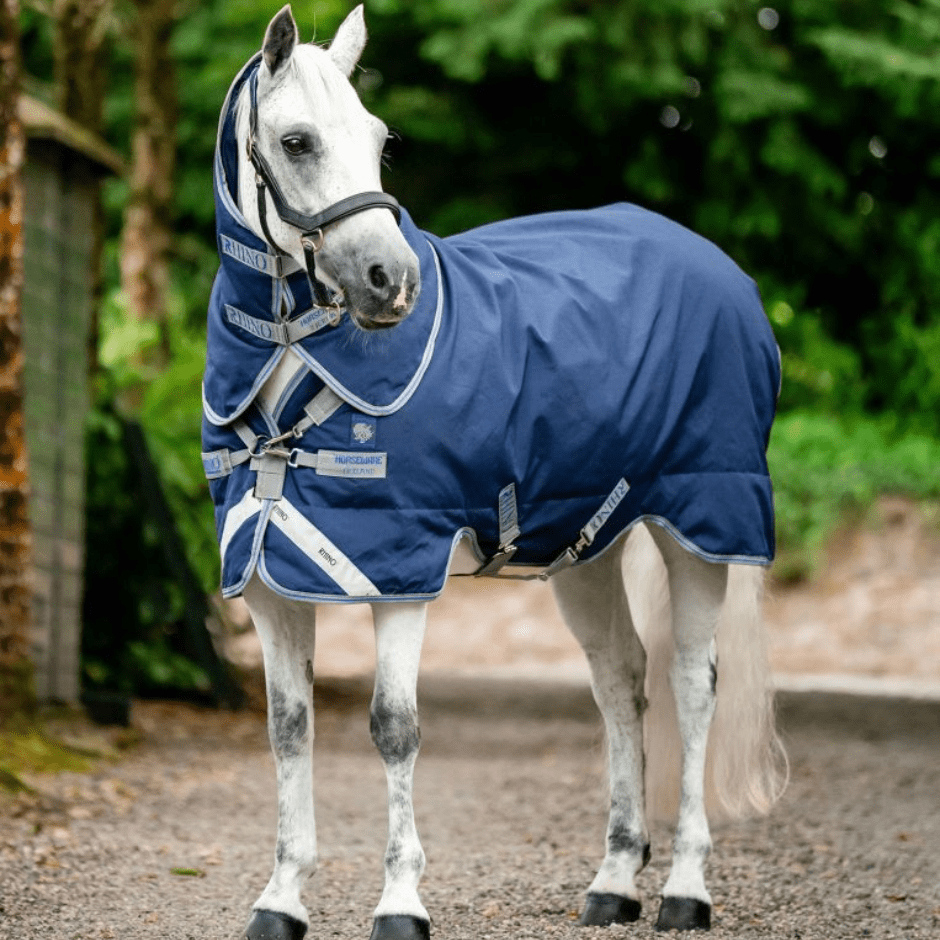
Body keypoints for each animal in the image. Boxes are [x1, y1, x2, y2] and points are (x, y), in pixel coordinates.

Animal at [201, 6, 787, 939]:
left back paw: (686, 889)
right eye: (296, 141)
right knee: (620, 683)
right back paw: (614, 881)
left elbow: (393, 726)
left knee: (693, 689)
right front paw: (281, 899)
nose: (390, 282)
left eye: (378, 139)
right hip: (589, 549)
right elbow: (288, 729)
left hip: (701, 527)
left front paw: (400, 903)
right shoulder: (266, 578)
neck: (298, 364)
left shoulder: (398, 571)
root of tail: (724, 272)